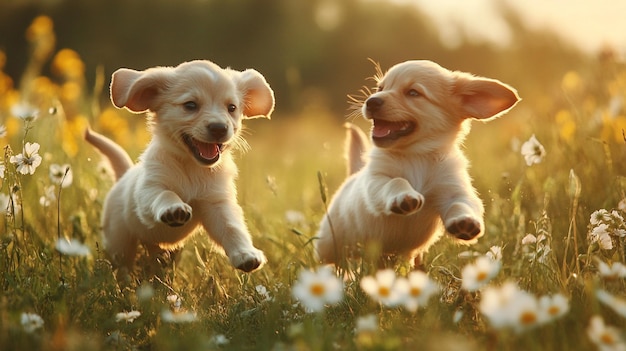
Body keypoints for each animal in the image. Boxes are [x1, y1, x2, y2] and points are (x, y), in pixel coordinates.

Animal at [85, 59, 272, 272]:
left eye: (231, 107)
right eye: (190, 105)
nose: (219, 128)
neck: (192, 167)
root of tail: (123, 176)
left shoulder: (216, 203)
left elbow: (232, 227)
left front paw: (245, 253)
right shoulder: (148, 191)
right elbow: (165, 193)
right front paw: (174, 208)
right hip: (120, 242)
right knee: (122, 265)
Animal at [316, 60, 516, 268]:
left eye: (413, 93)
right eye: (380, 88)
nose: (371, 101)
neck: (417, 155)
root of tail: (353, 175)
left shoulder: (454, 189)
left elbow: (462, 203)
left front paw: (466, 221)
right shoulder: (376, 182)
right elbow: (396, 181)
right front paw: (404, 197)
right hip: (330, 245)